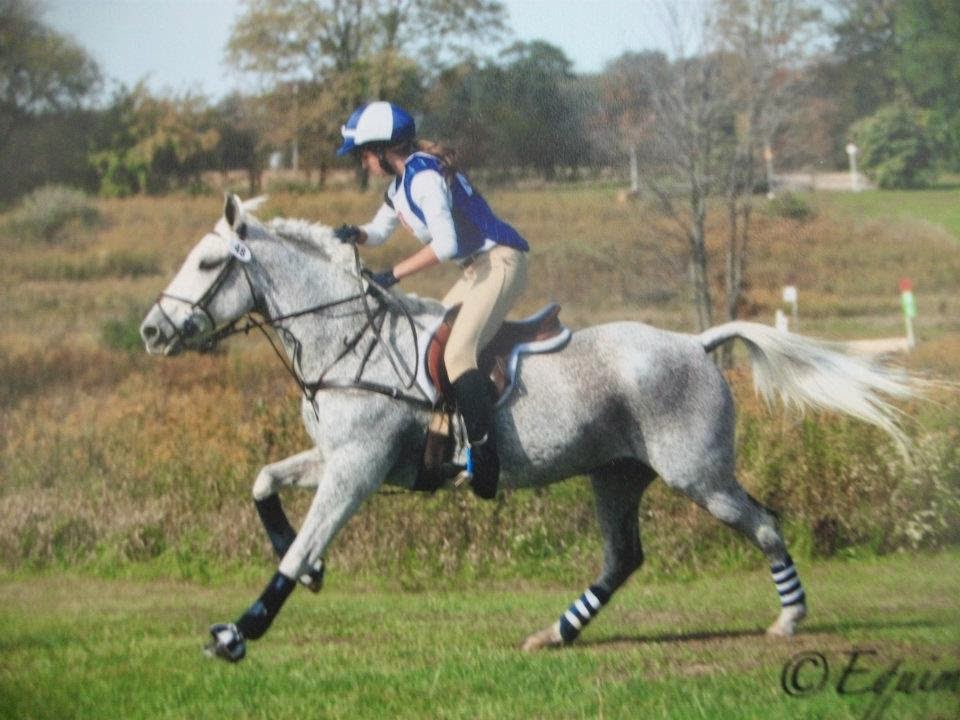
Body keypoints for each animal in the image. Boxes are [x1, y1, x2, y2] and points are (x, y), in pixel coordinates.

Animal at [140, 195, 920, 662]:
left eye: (207, 263)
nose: (151, 331)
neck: (346, 339)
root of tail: (697, 343)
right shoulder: (339, 457)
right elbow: (264, 484)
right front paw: (307, 571)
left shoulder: (357, 467)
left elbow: (302, 544)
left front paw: (240, 631)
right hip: (617, 475)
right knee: (623, 558)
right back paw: (557, 632)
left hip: (698, 474)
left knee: (761, 522)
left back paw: (789, 620)